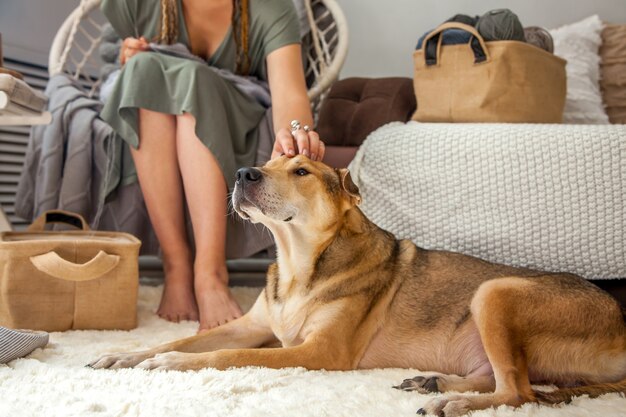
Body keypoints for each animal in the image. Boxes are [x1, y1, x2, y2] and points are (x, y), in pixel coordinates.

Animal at [91, 154, 624, 414]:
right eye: (269, 161)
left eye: (301, 170)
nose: (242, 173)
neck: (298, 265)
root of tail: (621, 323)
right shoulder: (251, 324)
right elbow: (186, 338)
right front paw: (125, 354)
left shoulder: (319, 352)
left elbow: (225, 356)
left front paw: (169, 364)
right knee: (502, 377)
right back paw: (436, 382)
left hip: (493, 293)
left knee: (519, 391)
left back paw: (452, 401)